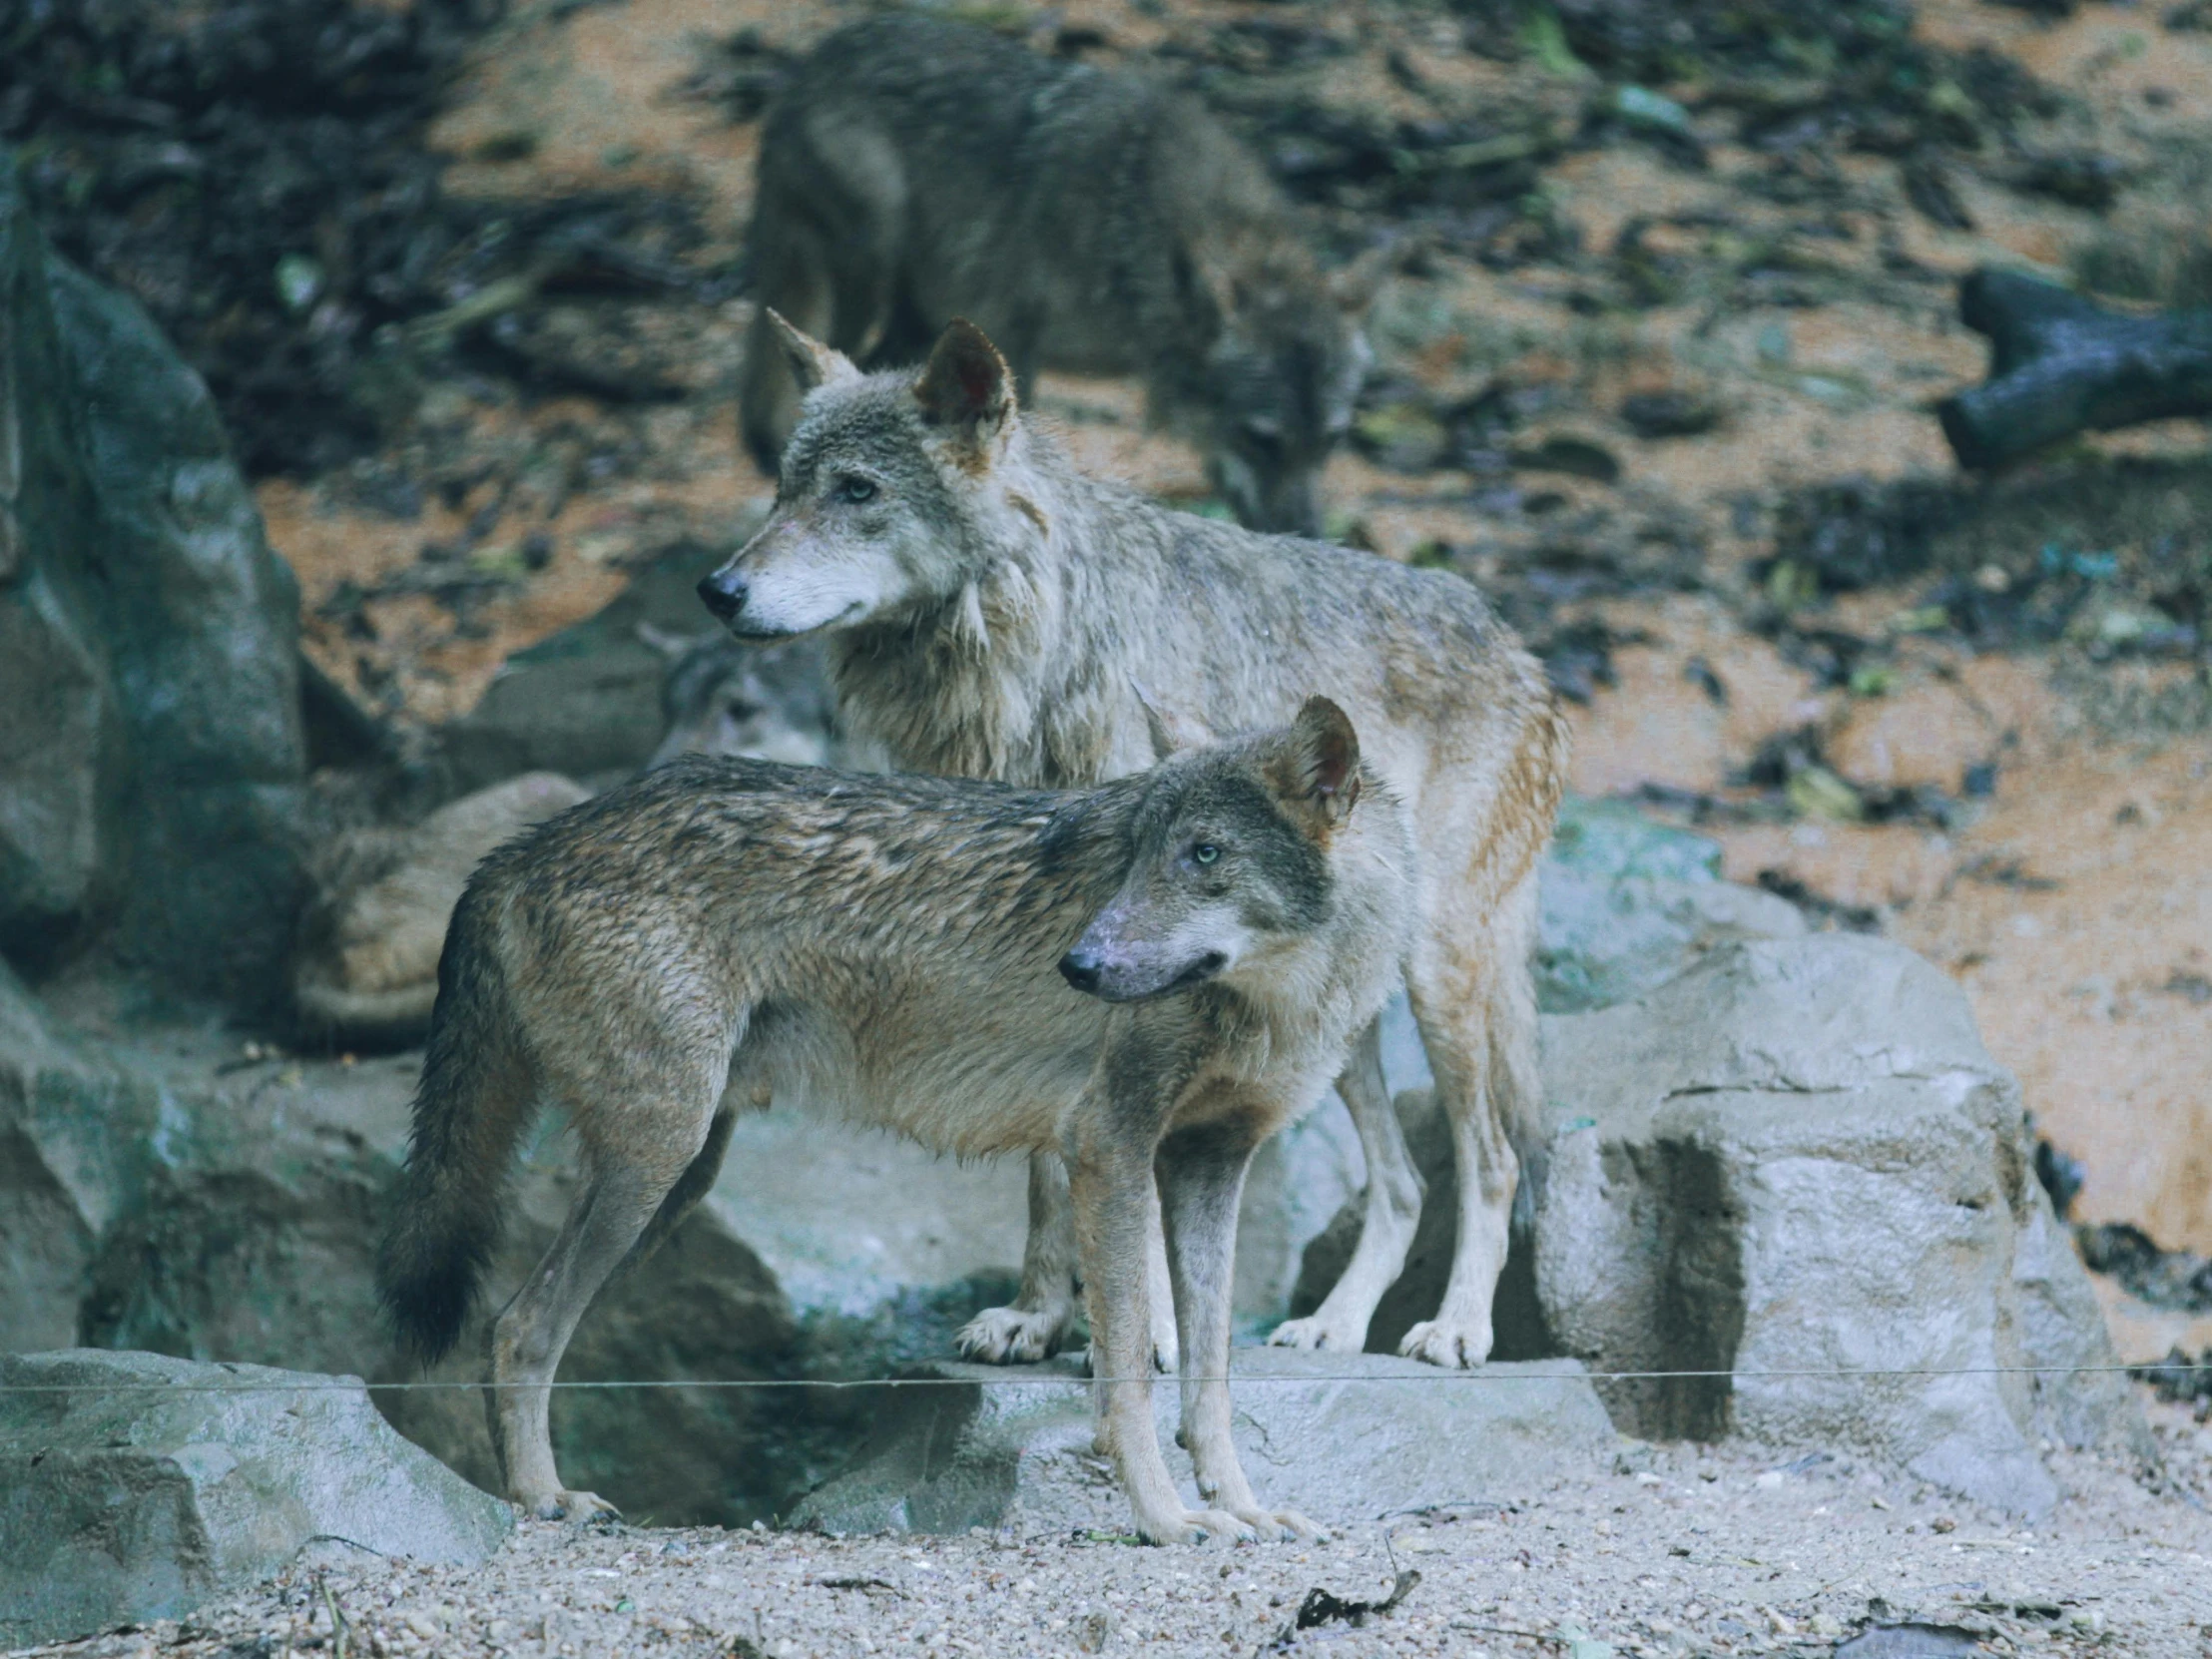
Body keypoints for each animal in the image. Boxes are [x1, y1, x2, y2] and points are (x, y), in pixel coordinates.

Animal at [375, 699, 1415, 1548]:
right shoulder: (1108, 1148)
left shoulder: (1210, 1162)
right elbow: (1129, 1369)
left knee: (517, 1322)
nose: (1078, 966)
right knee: (519, 1327)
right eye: (1137, 856)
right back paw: (544, 1502)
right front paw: (1166, 1522)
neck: (1282, 997)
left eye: (1204, 855)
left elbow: (1210, 1381)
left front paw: (1242, 1509)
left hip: (676, 1176)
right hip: (655, 1162)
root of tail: (523, 846)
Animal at [699, 311, 1565, 1380]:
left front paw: (1144, 1334)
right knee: (1403, 1183)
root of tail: (1519, 645)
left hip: (1438, 978)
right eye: (784, 487)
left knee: (1493, 1159)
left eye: (857, 490)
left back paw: (1456, 1329)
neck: (1035, 651)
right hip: (1333, 1020)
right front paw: (1037, 1317)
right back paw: (1331, 1326)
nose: (717, 590)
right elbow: (1047, 1164)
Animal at [734, 13, 1371, 533]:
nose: (1309, 535)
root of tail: (805, 71)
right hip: (873, 267)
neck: (1130, 225)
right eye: (1262, 441)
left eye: (1331, 442)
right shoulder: (1011, 338)